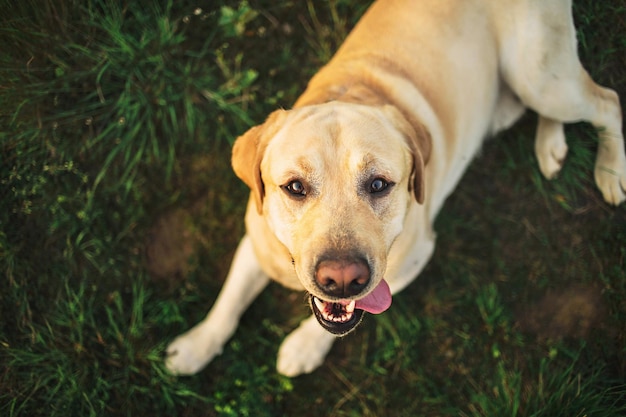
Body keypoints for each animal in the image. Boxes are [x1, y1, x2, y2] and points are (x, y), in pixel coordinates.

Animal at [165, 0, 624, 376]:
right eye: (294, 187)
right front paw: (195, 346)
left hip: (540, 77)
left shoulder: (410, 263)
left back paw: (609, 169)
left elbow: (324, 326)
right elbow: (228, 303)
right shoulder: (256, 242)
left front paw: (303, 347)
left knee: (607, 101)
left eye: (379, 184)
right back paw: (551, 145)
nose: (342, 280)